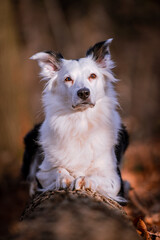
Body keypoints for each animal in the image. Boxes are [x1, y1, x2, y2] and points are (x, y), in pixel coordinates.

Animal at [21, 39, 129, 204]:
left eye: (93, 76)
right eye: (68, 79)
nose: (83, 92)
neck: (81, 122)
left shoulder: (115, 178)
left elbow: (99, 178)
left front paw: (85, 180)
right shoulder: (43, 171)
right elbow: (56, 170)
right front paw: (64, 178)